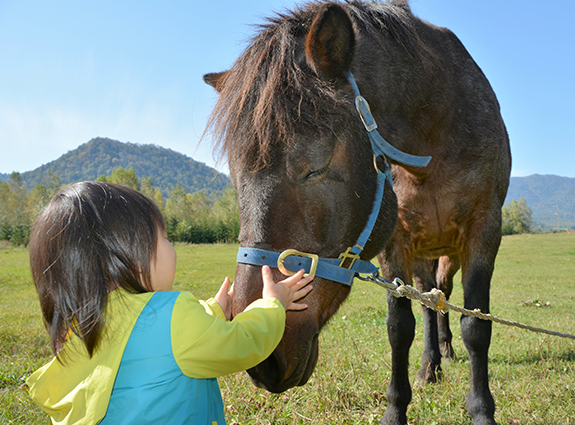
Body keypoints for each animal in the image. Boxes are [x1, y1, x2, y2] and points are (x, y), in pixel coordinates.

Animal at [205, 1, 510, 422]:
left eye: (314, 167)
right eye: (235, 179)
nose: (262, 357)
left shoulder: (485, 229)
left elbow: (476, 326)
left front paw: (481, 409)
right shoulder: (398, 240)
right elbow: (401, 326)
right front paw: (397, 408)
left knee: (443, 295)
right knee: (430, 300)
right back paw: (431, 364)